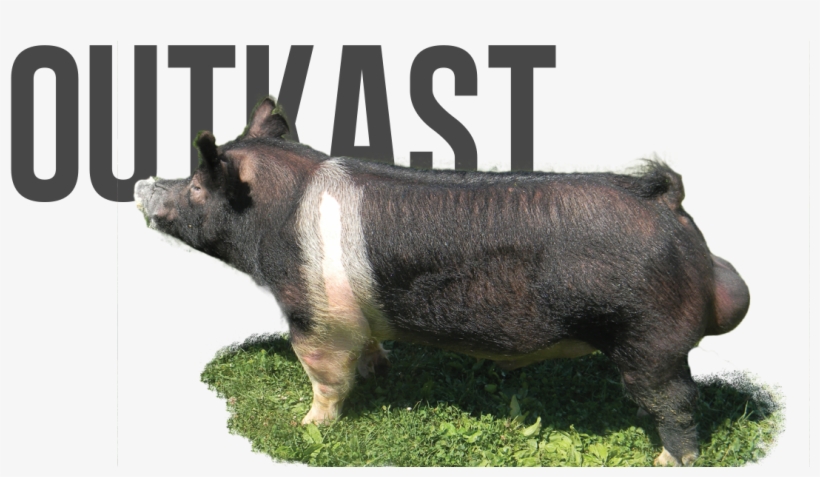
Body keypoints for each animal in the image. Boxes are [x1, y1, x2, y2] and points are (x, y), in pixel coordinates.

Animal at [135, 96, 750, 467]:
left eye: (196, 185)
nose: (142, 183)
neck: (272, 220)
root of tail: (667, 203)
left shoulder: (315, 313)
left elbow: (323, 375)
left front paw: (306, 423)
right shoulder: (355, 318)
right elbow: (368, 351)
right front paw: (379, 371)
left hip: (649, 339)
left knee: (679, 404)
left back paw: (665, 460)